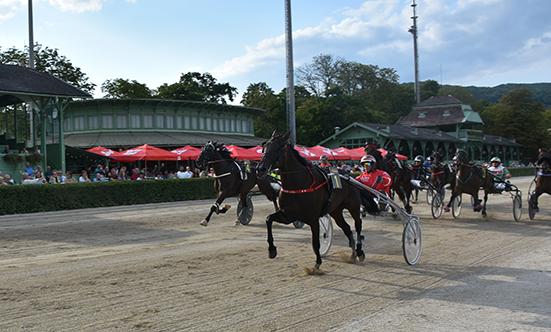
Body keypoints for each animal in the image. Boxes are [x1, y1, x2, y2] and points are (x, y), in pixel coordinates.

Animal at [256, 130, 380, 272]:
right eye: (264, 147)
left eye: (280, 147)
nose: (260, 169)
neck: (299, 183)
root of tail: (350, 177)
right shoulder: (288, 215)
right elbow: (268, 219)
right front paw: (272, 249)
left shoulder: (313, 218)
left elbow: (316, 242)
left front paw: (317, 264)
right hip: (336, 211)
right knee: (347, 228)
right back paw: (353, 254)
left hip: (353, 206)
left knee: (358, 226)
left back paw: (359, 251)